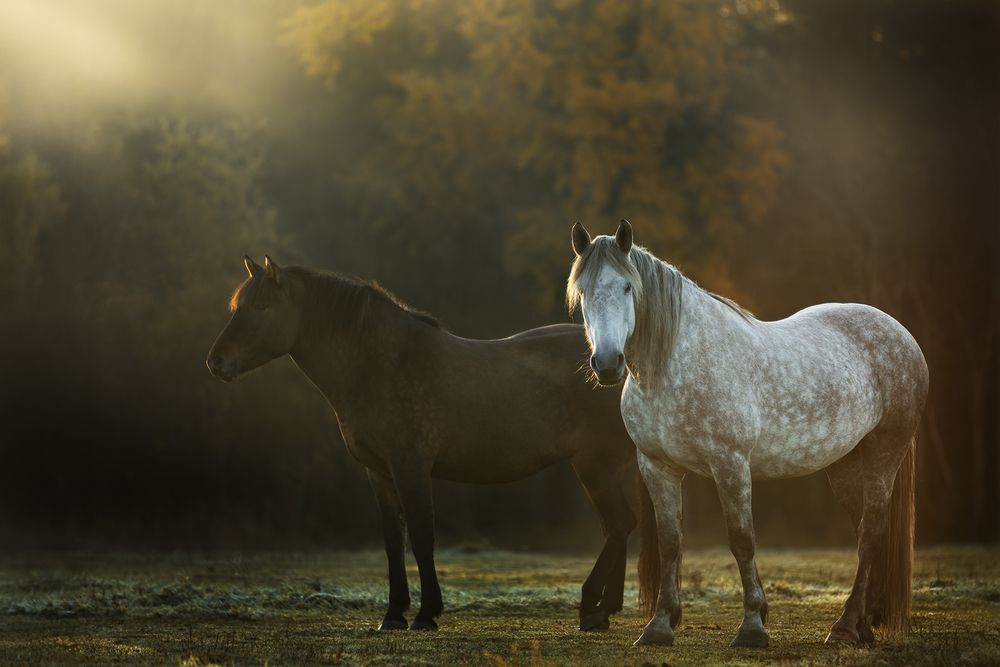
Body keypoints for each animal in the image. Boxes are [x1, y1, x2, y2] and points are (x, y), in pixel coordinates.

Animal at [206, 255, 654, 632]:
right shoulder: (379, 473)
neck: (382, 363)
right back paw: (606, 608)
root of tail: (617, 364)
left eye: (260, 307)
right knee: (618, 528)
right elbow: (393, 541)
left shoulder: (411, 467)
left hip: (595, 466)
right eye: (238, 306)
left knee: (619, 525)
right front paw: (392, 615)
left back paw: (591, 607)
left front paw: (426, 614)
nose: (216, 361)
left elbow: (422, 537)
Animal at [566, 220, 927, 649]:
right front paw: (659, 625)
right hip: (845, 465)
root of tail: (901, 333)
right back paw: (863, 625)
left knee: (871, 532)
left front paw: (752, 627)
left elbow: (741, 540)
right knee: (865, 535)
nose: (607, 363)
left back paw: (843, 627)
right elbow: (670, 543)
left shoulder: (730, 464)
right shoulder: (657, 466)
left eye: (626, 287)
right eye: (583, 291)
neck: (678, 364)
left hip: (884, 453)